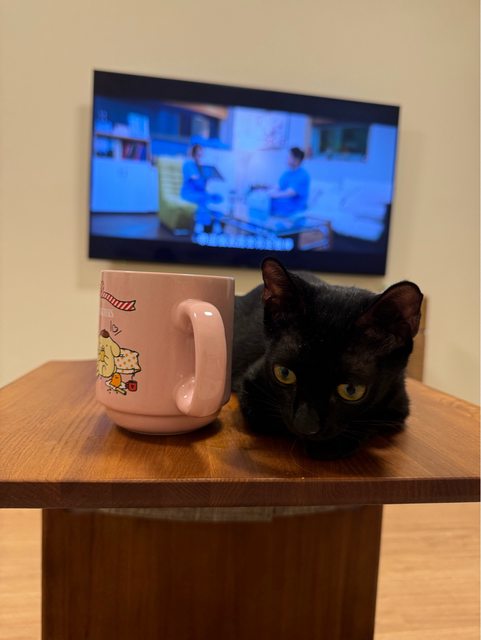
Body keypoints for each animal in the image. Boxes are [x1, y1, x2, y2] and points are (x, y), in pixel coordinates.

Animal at [232, 258, 423, 459]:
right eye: (284, 373)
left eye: (351, 390)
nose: (304, 425)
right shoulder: (249, 383)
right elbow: (263, 419)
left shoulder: (398, 407)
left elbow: (371, 421)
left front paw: (329, 445)